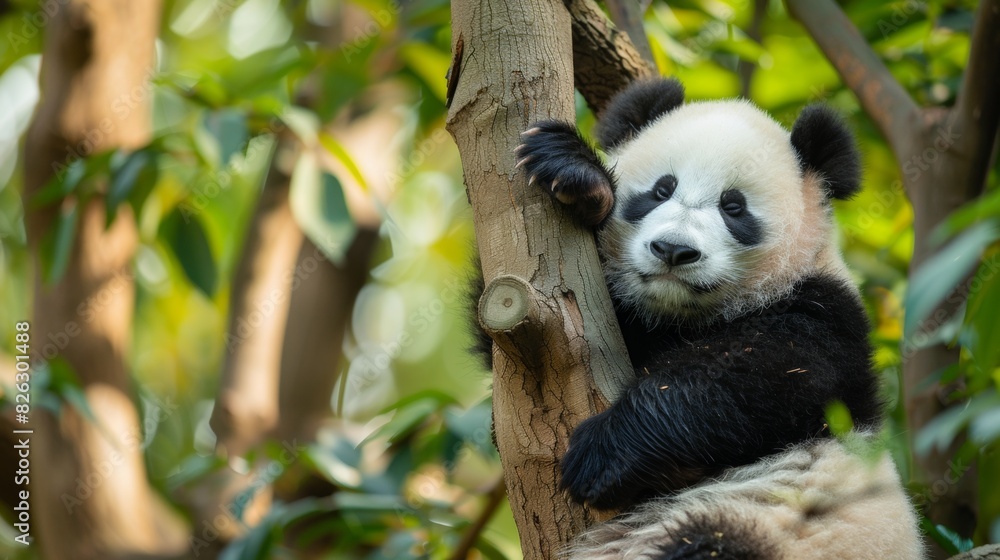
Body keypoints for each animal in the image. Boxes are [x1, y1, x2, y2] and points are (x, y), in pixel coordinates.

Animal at [506, 78, 924, 559]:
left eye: (734, 207)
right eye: (661, 190)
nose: (673, 250)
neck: (684, 316)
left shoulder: (825, 316)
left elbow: (747, 379)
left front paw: (601, 456)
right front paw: (576, 175)